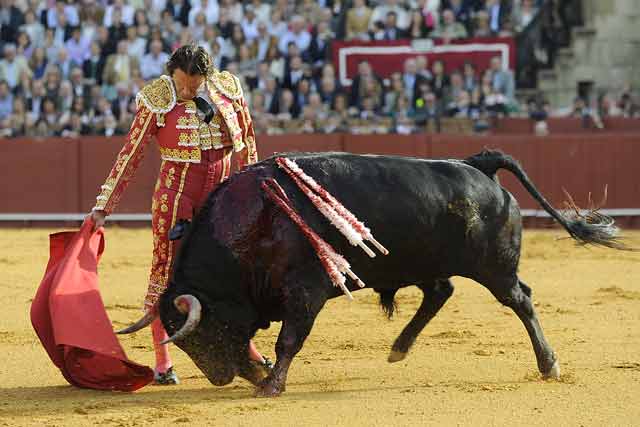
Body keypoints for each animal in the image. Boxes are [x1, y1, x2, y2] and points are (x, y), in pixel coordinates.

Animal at [121, 151, 624, 398]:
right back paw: (399, 348)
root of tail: (476, 164)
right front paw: (263, 376)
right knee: (440, 292)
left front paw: (271, 385)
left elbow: (289, 339)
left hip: (494, 268)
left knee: (520, 299)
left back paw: (549, 364)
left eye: (203, 332)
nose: (223, 378)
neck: (254, 222)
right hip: (421, 261)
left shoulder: (306, 290)